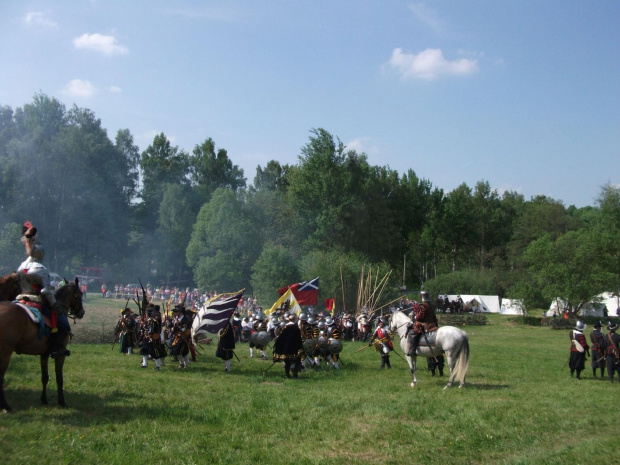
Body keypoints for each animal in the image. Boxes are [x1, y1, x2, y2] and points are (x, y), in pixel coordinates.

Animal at [0, 276, 85, 410]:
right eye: (79, 294)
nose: (81, 312)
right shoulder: (60, 354)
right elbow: (59, 378)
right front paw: (62, 401)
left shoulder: (44, 354)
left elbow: (45, 377)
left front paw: (44, 399)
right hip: (5, 353)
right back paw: (5, 406)